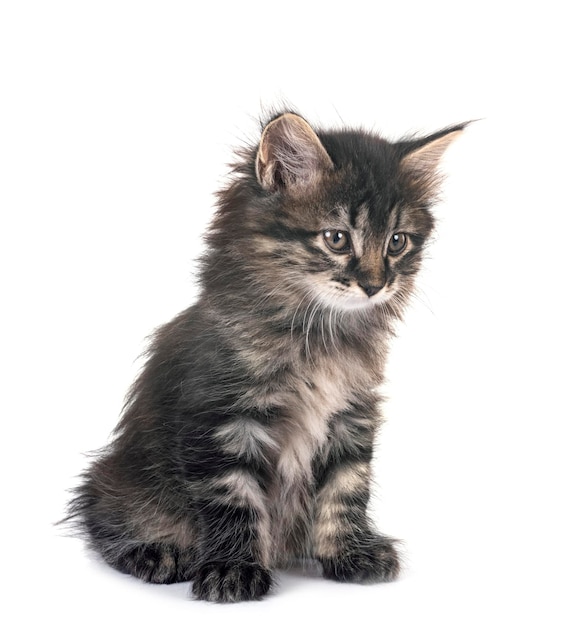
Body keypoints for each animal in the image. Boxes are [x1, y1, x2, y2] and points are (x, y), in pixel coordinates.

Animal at [67, 111, 466, 600]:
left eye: (396, 242)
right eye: (337, 239)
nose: (375, 285)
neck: (320, 335)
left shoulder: (352, 415)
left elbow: (346, 489)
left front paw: (350, 553)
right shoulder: (221, 417)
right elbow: (234, 500)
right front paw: (233, 570)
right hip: (121, 479)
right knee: (105, 518)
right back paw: (156, 552)